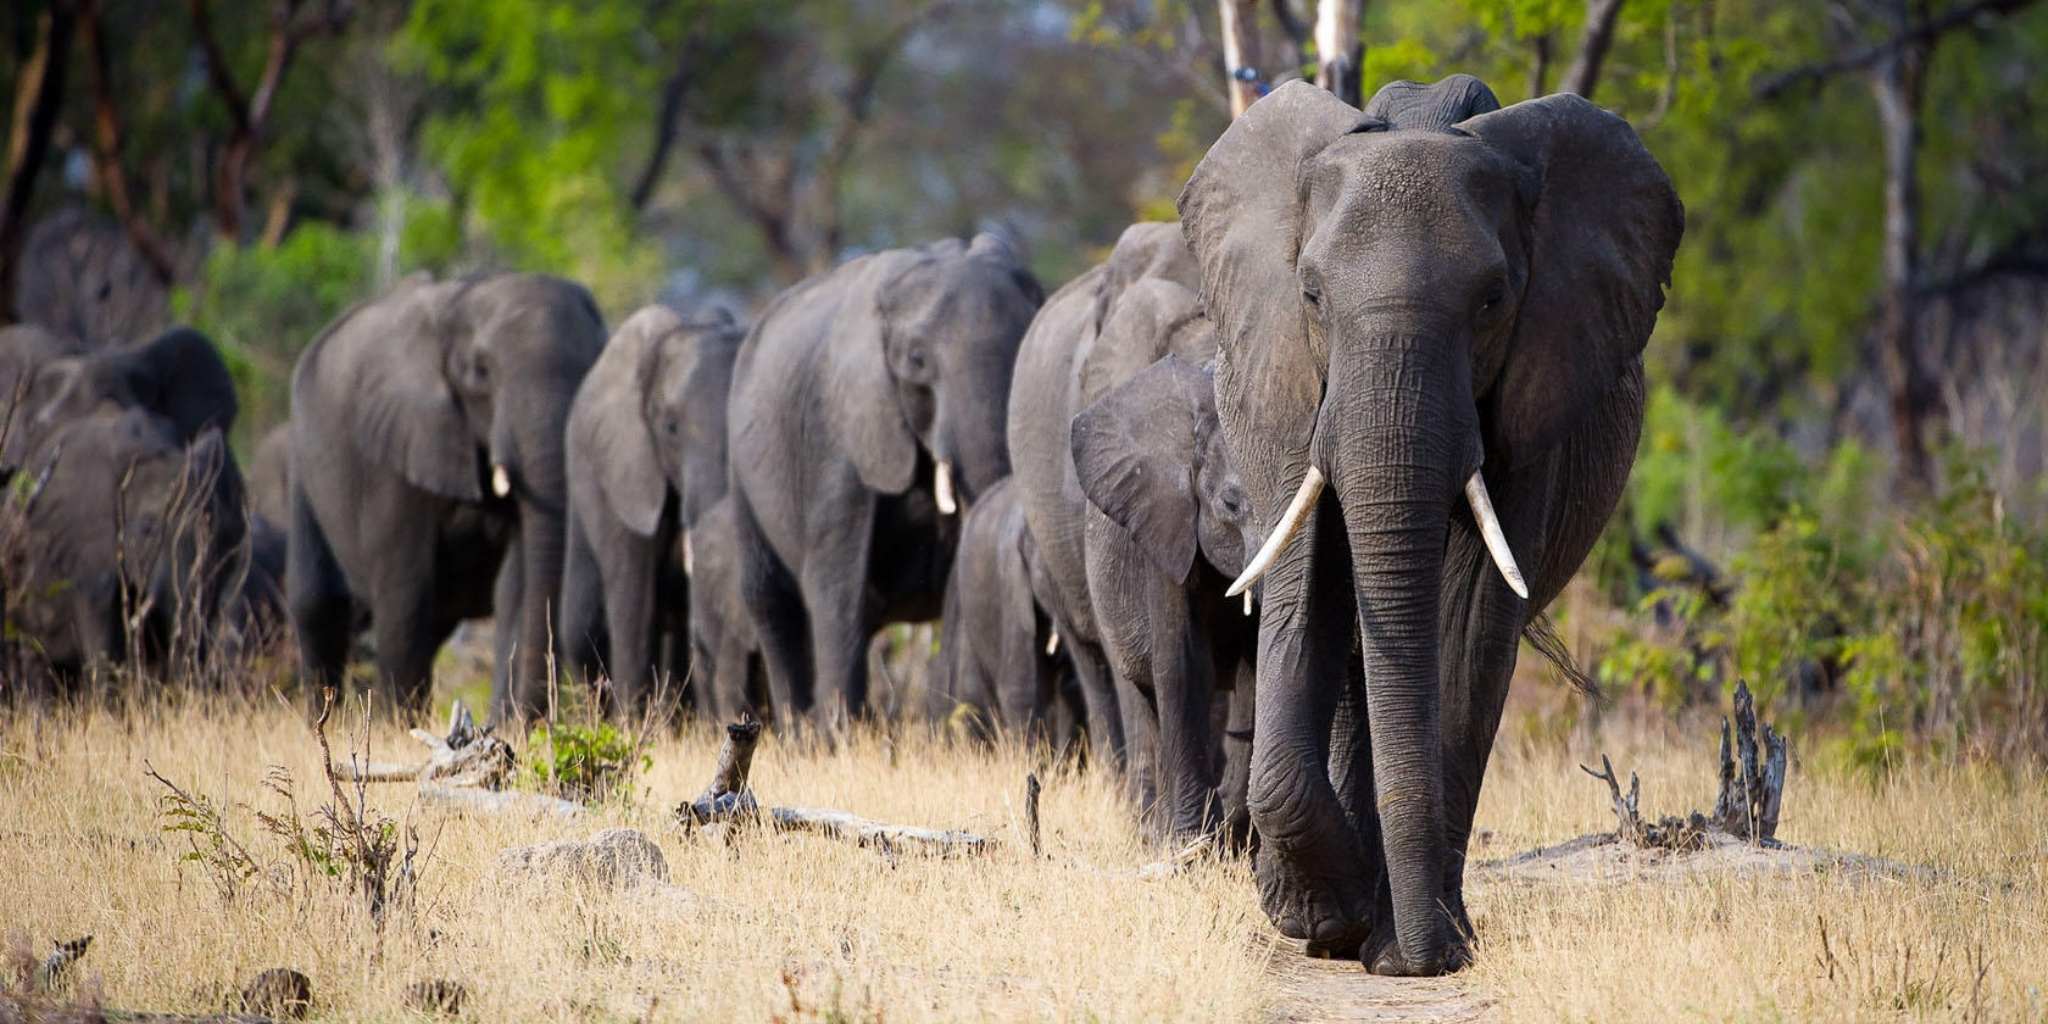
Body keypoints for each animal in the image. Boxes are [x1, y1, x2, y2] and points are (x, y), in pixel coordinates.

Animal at [286, 272, 608, 719]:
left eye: (592, 365)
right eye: (481, 371)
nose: (530, 721)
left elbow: (516, 584)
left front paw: (505, 724)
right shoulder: (396, 449)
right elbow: (406, 589)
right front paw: (397, 724)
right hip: (303, 463)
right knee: (319, 603)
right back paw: (325, 717)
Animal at [725, 234, 1043, 728]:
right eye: (917, 361)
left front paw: (943, 729)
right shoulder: (840, 432)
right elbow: (836, 582)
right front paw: (841, 739)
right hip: (742, 469)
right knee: (773, 603)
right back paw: (799, 734)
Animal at [1068, 280, 1259, 841]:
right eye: (1230, 505)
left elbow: (1254, 667)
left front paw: (1234, 837)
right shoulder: (1164, 527)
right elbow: (1181, 663)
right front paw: (1190, 843)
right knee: (1144, 694)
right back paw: (1152, 831)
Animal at [1175, 76, 1681, 973]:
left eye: (1492, 301)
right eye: (1311, 295)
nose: (1420, 955)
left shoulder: (1536, 391)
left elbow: (1470, 619)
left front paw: (1417, 947)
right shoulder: (1288, 386)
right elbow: (1308, 590)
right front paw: (1325, 917)